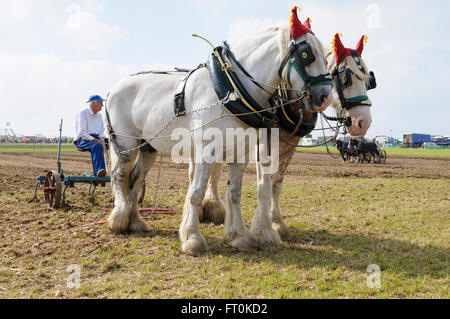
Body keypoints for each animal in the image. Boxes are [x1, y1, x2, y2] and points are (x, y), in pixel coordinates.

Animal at [104, 7, 330, 256]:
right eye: (307, 55)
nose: (325, 96)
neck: (231, 90)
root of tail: (113, 89)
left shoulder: (240, 154)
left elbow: (235, 193)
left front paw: (239, 235)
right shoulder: (205, 152)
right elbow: (196, 193)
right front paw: (192, 238)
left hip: (148, 148)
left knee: (136, 179)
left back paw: (135, 222)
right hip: (126, 145)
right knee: (119, 176)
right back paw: (119, 220)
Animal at [199, 31, 374, 240]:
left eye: (368, 81)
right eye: (346, 77)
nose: (363, 122)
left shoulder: (289, 146)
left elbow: (276, 183)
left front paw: (276, 222)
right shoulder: (263, 144)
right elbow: (264, 185)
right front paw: (263, 228)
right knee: (215, 168)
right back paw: (212, 206)